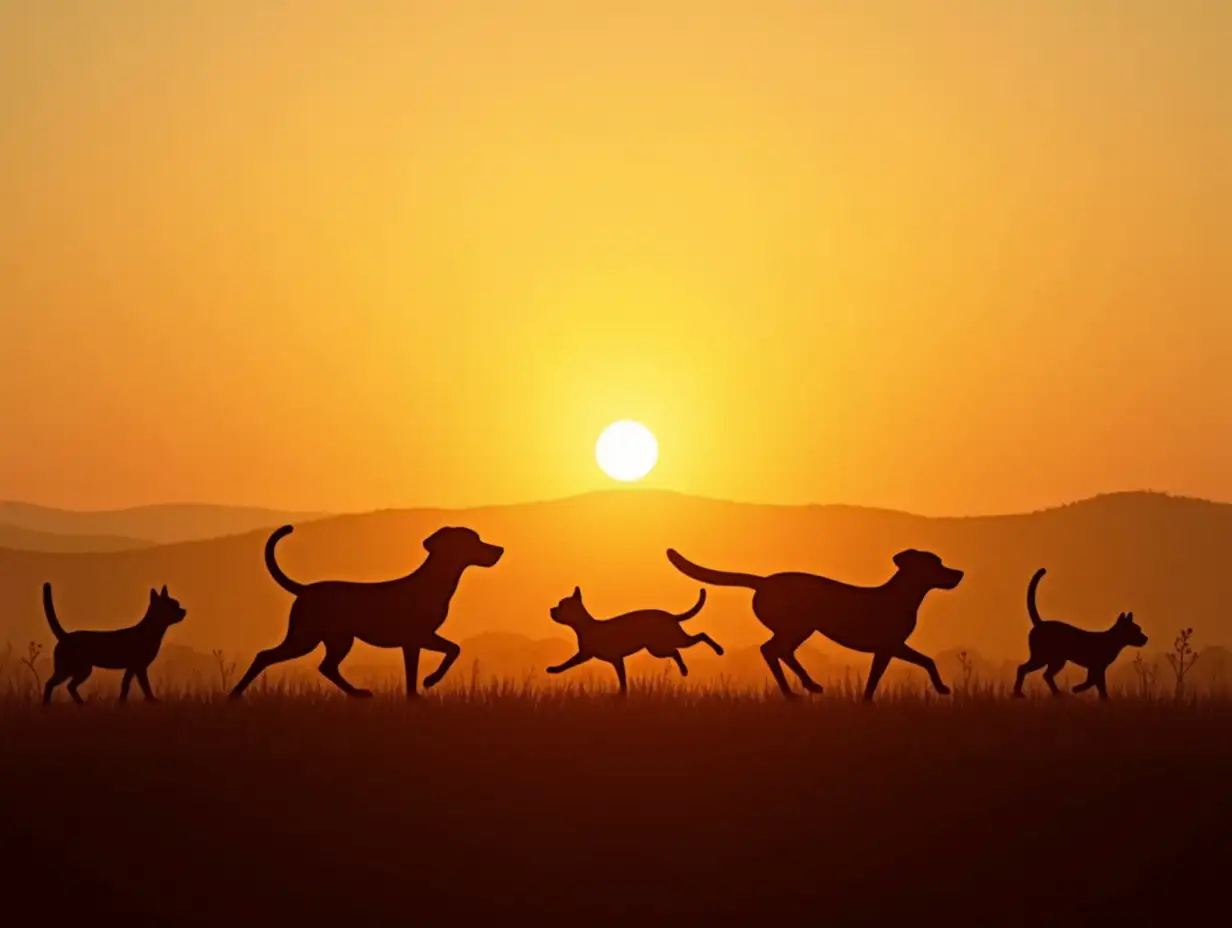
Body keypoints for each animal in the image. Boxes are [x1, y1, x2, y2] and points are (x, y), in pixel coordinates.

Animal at [229, 525, 502, 700]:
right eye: (474, 540)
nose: (499, 549)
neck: (434, 580)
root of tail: (305, 589)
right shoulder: (419, 637)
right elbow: (453, 649)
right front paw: (430, 680)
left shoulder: (413, 642)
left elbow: (417, 669)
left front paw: (415, 695)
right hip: (307, 638)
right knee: (266, 656)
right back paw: (235, 693)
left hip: (336, 639)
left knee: (326, 667)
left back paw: (357, 693)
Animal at [665, 547, 960, 700]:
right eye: (936, 564)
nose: (959, 573)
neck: (902, 595)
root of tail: (763, 582)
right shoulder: (891, 646)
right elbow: (919, 663)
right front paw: (943, 688)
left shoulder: (889, 648)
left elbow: (916, 664)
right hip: (796, 627)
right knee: (771, 650)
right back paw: (794, 691)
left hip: (799, 629)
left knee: (780, 652)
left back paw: (807, 685)